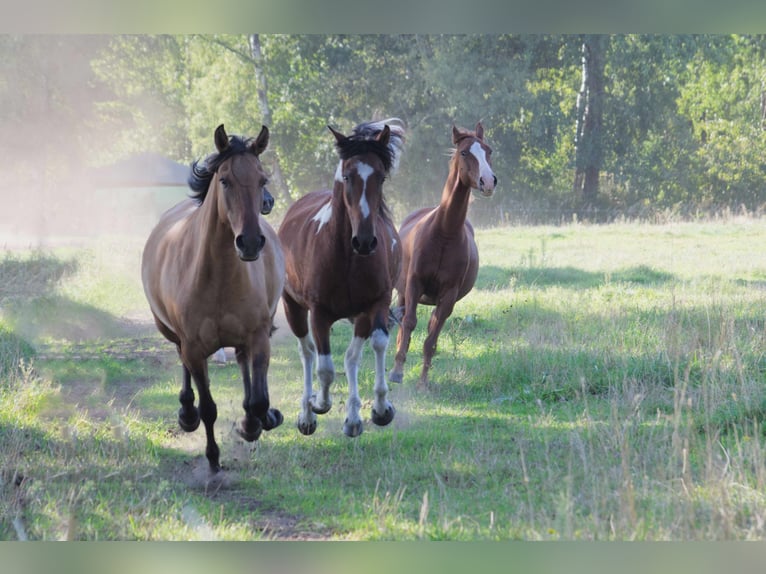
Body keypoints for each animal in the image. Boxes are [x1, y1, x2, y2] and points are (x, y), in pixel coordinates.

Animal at [142, 125, 286, 472]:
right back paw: (186, 413)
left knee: (245, 364)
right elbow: (208, 406)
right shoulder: (194, 348)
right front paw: (213, 459)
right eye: (225, 180)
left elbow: (259, 399)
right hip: (173, 334)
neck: (218, 277)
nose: (250, 242)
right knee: (181, 359)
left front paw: (258, 421)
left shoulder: (258, 335)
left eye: (262, 179)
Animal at [280, 119, 404, 438]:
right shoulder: (318, 312)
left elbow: (371, 348)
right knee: (307, 352)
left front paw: (377, 410)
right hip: (292, 307)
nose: (365, 241)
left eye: (381, 177)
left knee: (349, 356)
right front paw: (318, 403)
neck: (347, 258)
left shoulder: (375, 304)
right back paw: (307, 414)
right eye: (347, 176)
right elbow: (324, 367)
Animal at [390, 123, 498, 390]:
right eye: (464, 152)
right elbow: (409, 324)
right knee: (402, 325)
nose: (488, 181)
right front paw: (397, 372)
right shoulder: (414, 284)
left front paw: (423, 382)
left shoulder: (448, 295)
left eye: (489, 151)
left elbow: (431, 338)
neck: (445, 233)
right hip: (402, 292)